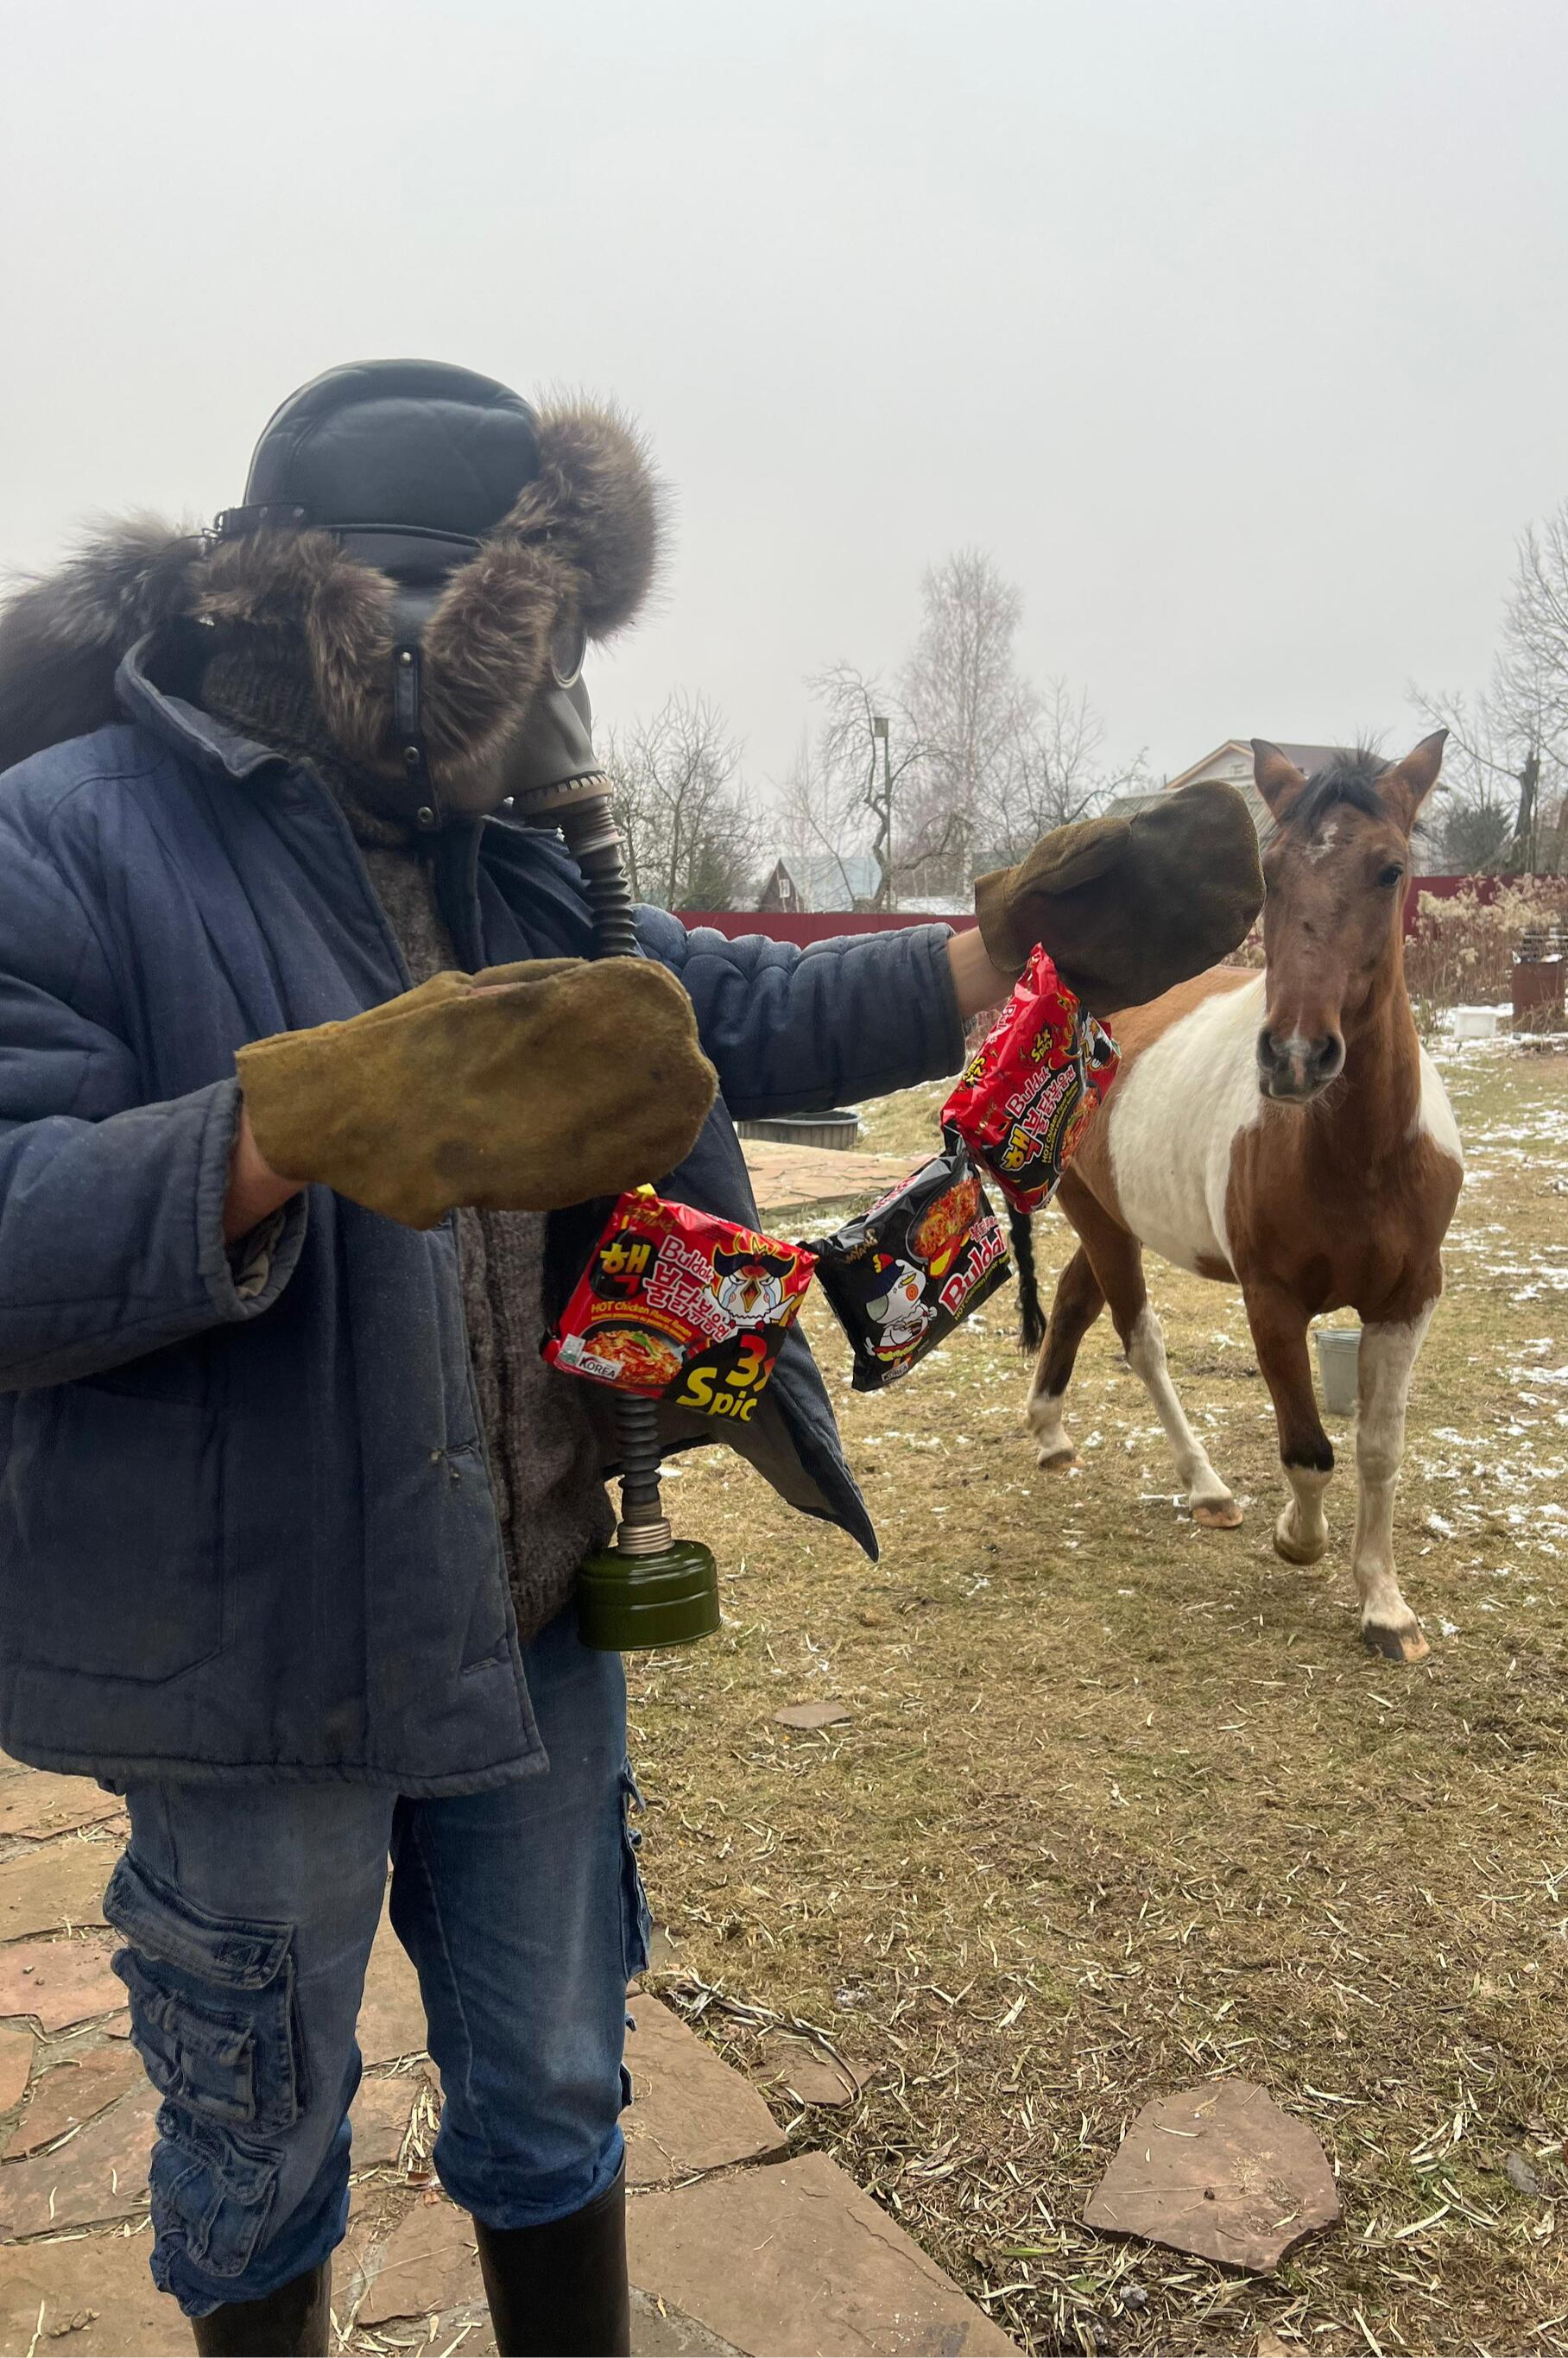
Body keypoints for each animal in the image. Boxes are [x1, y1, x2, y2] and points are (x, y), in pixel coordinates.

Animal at [1023, 726, 1462, 1669]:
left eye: (1390, 869)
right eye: (1272, 871)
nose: (1295, 1057)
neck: (1357, 1155)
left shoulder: (1409, 1300)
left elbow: (1378, 1451)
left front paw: (1384, 1605)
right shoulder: (1272, 1301)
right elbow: (1308, 1449)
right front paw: (1298, 1538)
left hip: (1106, 1217)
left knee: (1075, 1300)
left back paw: (1050, 1432)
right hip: (1098, 1219)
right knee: (1140, 1342)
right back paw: (1205, 1486)